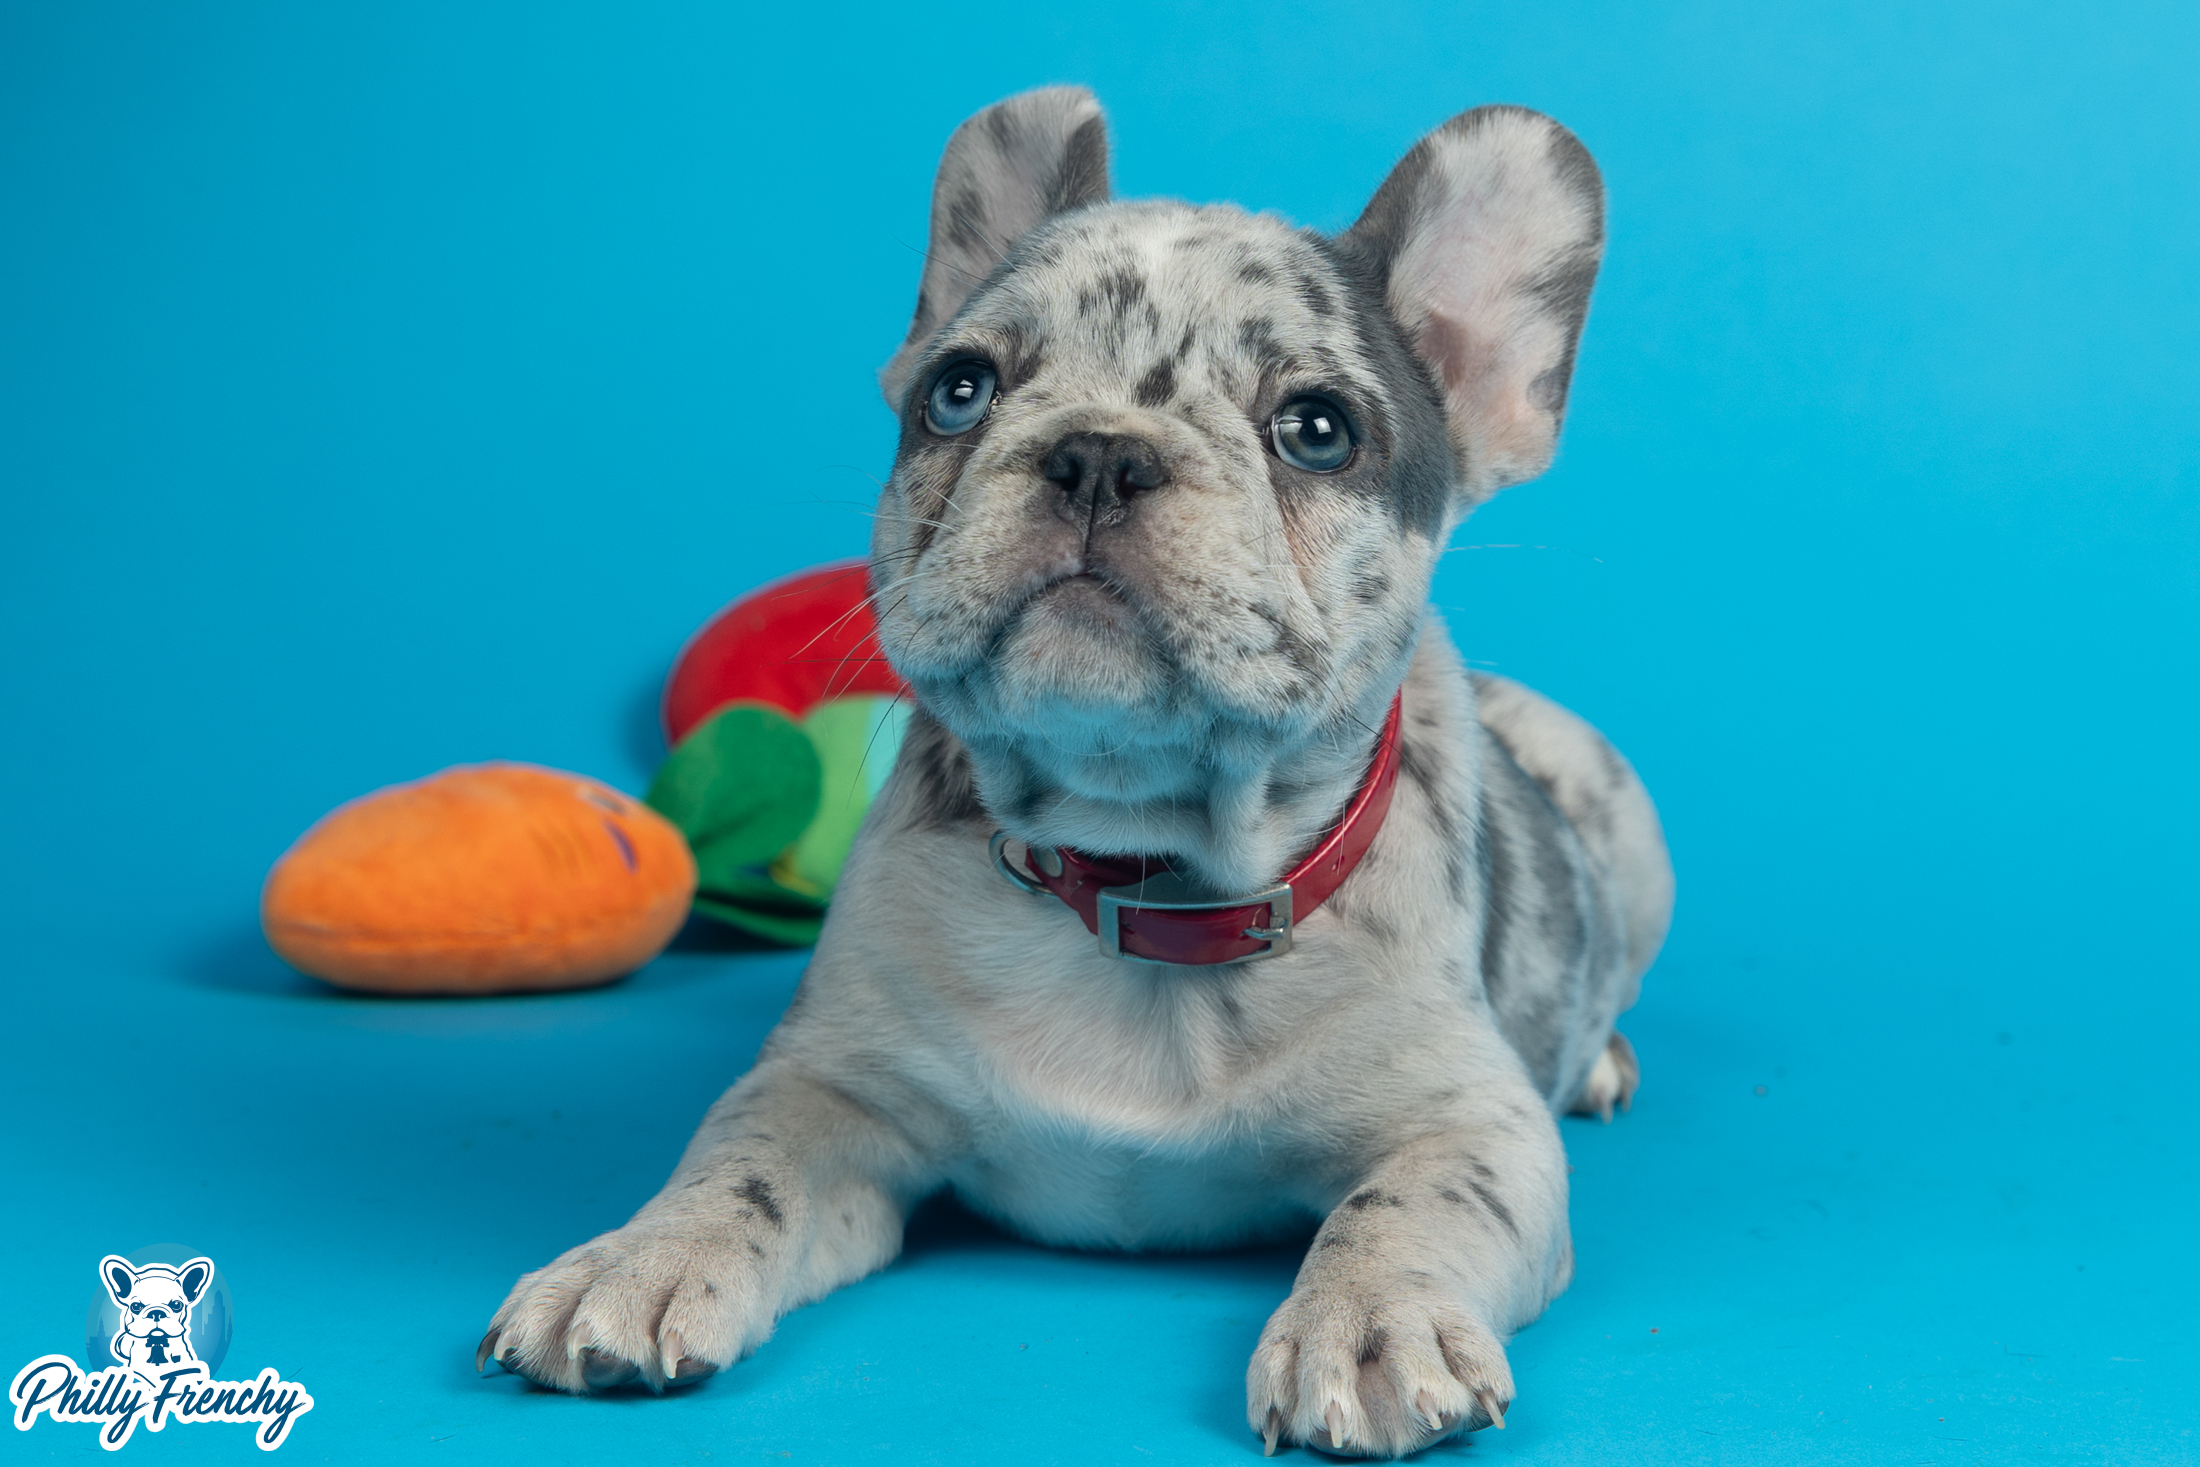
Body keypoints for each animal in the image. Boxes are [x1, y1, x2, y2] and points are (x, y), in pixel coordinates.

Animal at [481, 89, 1672, 1460]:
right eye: (958, 391)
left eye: (1318, 430)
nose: (1100, 452)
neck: (1140, 875)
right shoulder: (835, 1085)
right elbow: (740, 1158)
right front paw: (639, 1257)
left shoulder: (1472, 1122)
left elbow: (1412, 1205)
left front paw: (1370, 1322)